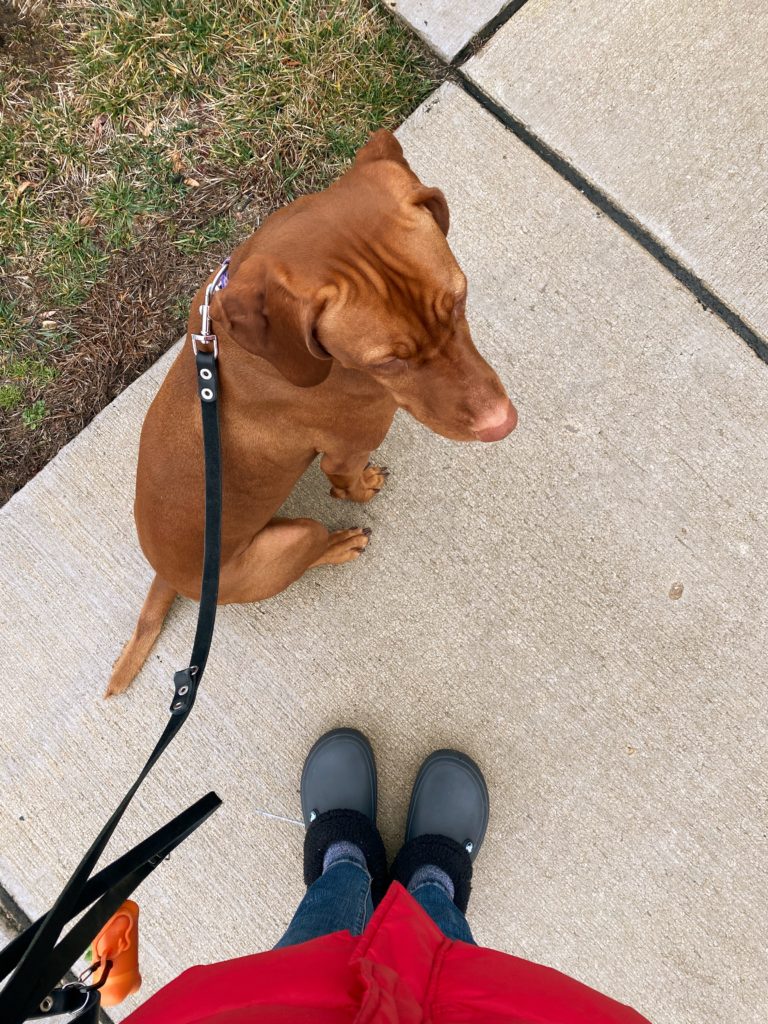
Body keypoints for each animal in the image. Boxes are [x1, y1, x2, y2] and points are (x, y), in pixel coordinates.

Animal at [105, 130, 518, 696]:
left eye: (460, 299)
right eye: (387, 361)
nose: (503, 424)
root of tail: (172, 577)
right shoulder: (345, 450)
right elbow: (347, 483)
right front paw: (363, 489)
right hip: (292, 538)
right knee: (313, 543)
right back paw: (339, 544)